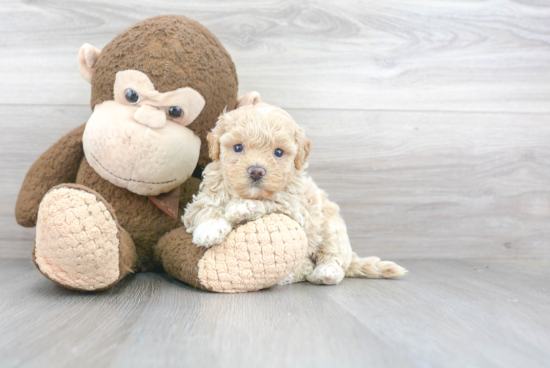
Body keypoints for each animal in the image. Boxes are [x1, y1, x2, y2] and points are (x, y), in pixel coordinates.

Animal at [183, 103, 408, 284]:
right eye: (238, 147)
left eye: (278, 152)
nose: (256, 171)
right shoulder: (202, 200)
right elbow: (204, 210)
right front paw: (210, 229)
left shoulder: (295, 208)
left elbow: (270, 201)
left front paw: (241, 207)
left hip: (331, 227)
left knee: (332, 257)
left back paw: (325, 272)